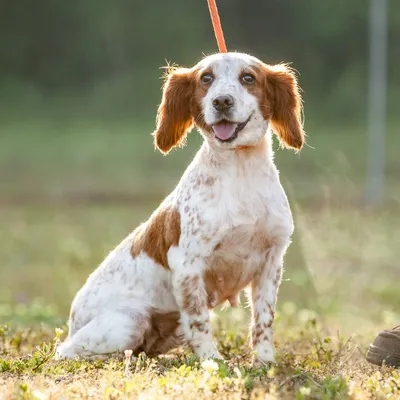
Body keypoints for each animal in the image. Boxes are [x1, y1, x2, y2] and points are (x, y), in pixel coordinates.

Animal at [54, 51, 304, 364]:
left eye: (249, 78)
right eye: (206, 78)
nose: (222, 101)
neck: (241, 170)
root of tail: (73, 318)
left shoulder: (271, 262)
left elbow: (263, 319)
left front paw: (265, 361)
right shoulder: (187, 264)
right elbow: (198, 321)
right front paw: (212, 361)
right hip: (127, 322)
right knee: (66, 351)